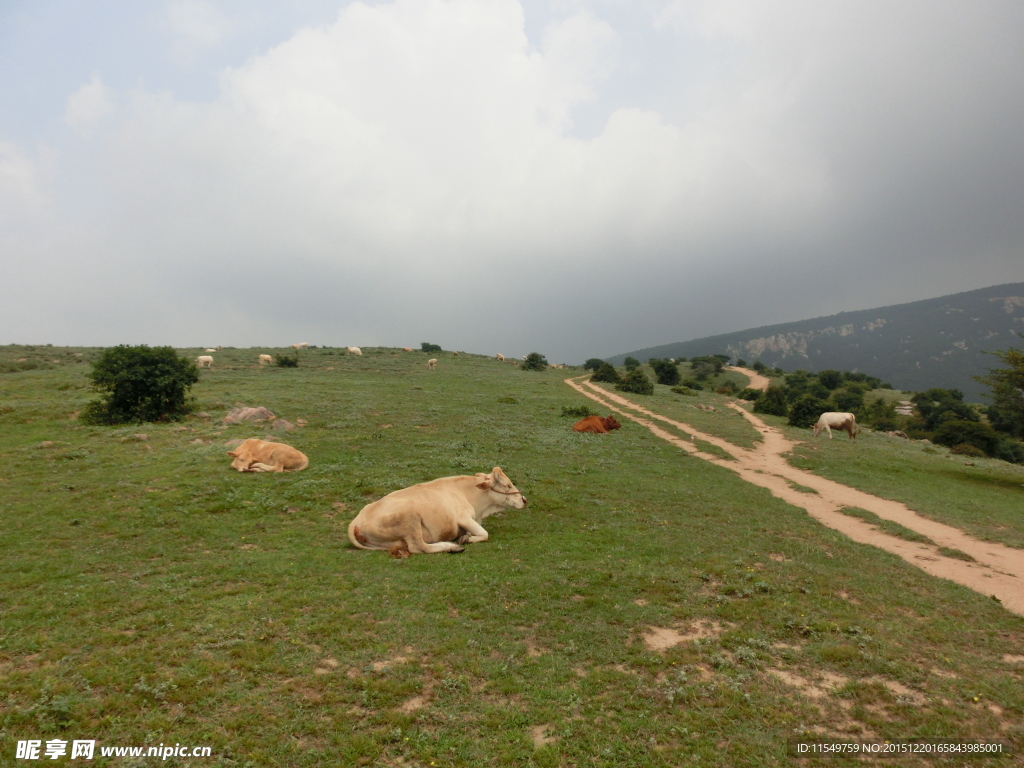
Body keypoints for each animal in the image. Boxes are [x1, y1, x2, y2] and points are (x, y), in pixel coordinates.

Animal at [350, 466, 528, 557]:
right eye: (507, 485)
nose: (524, 500)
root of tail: (357, 520)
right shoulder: (463, 518)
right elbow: (484, 534)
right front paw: (465, 539)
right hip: (411, 519)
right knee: (419, 547)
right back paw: (451, 547)